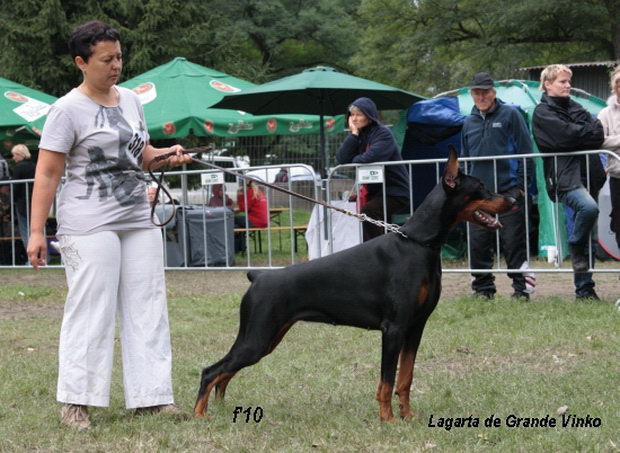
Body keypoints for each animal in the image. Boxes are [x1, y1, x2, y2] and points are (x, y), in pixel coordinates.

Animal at [195, 148, 515, 421]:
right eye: (481, 187)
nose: (514, 199)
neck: (419, 243)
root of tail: (259, 276)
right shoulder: (394, 328)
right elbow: (386, 380)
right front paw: (388, 420)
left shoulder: (415, 327)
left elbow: (405, 378)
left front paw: (408, 416)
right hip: (257, 337)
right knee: (210, 371)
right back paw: (200, 415)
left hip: (267, 338)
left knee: (223, 374)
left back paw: (220, 408)